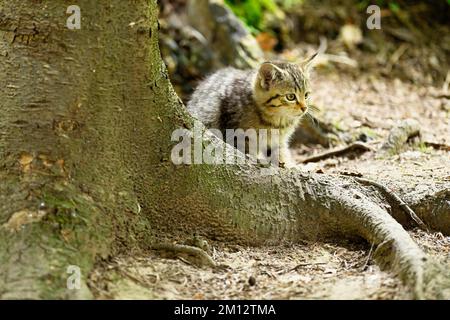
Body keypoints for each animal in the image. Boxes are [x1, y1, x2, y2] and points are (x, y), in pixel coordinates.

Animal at [186, 54, 316, 168]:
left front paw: (288, 166)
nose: (304, 108)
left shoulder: (277, 142)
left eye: (306, 95)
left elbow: (280, 155)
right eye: (290, 97)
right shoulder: (237, 135)